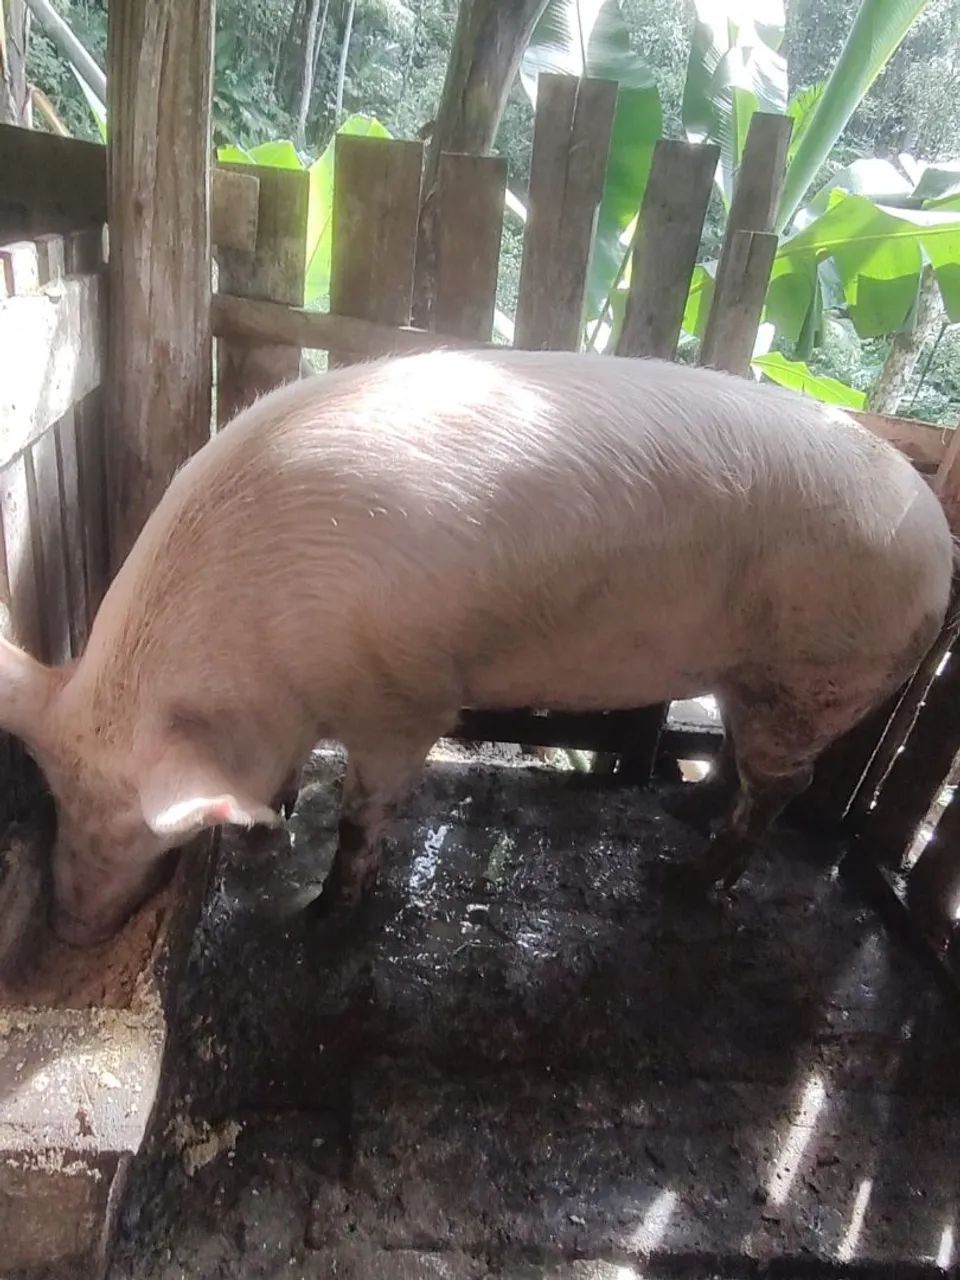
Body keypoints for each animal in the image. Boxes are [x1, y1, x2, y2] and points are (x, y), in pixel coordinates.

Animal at [0, 348, 953, 946]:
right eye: (57, 795)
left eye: (130, 824)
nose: (67, 930)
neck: (264, 648)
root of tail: (937, 537)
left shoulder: (404, 698)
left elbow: (365, 810)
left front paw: (321, 917)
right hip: (754, 676)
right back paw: (692, 814)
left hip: (817, 672)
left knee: (782, 783)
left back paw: (683, 883)